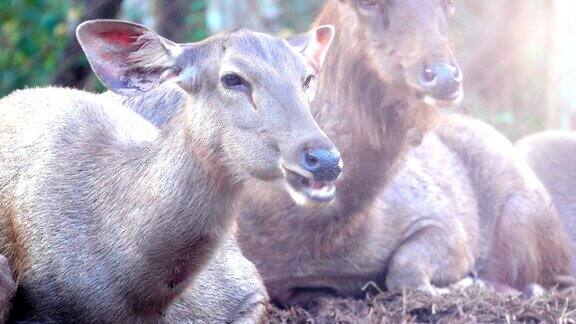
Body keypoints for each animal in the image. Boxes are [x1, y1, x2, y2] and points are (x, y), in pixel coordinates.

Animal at [233, 0, 572, 306]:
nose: (444, 76)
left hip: (522, 216)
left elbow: (404, 270)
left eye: (450, 2)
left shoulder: (445, 222)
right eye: (367, 2)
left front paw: (466, 283)